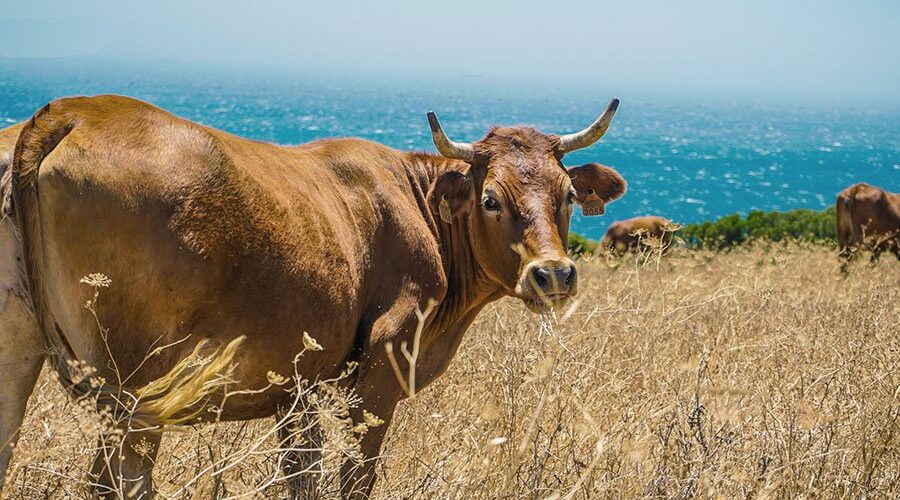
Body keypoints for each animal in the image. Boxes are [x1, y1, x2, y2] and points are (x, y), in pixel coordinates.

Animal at [0, 95, 628, 498]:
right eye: (492, 199)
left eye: (568, 195)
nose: (553, 274)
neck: (416, 203)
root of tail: (73, 110)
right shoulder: (379, 377)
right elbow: (353, 478)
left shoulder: (296, 387)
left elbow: (301, 474)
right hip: (135, 392)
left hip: (23, 358)